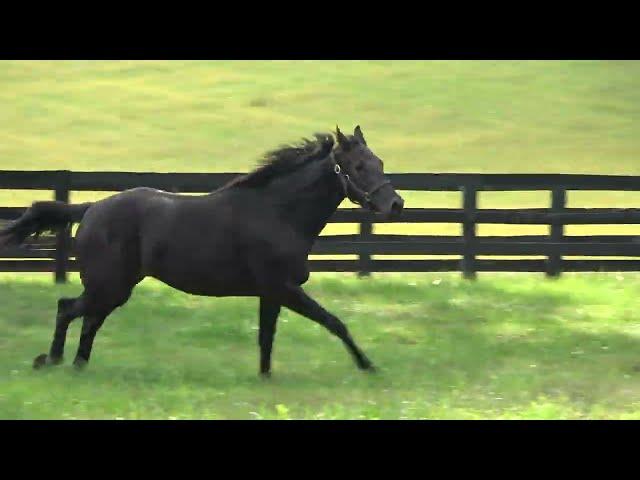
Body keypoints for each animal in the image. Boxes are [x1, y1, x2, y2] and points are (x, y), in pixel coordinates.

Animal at [1, 126, 404, 376]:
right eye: (358, 166)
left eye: (380, 163)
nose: (396, 204)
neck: (278, 212)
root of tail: (90, 208)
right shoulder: (284, 288)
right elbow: (335, 322)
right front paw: (369, 366)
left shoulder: (271, 292)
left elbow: (266, 337)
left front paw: (265, 379)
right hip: (109, 286)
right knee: (67, 309)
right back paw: (51, 360)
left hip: (113, 289)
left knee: (87, 320)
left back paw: (78, 365)